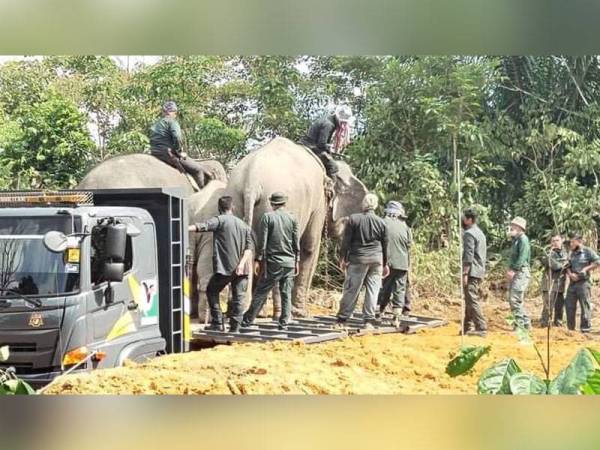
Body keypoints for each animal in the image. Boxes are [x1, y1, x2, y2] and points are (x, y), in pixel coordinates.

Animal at [224, 135, 368, 314]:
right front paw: (300, 312)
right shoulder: (319, 202)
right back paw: (279, 312)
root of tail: (252, 180)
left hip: (235, 200)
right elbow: (310, 247)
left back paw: (240, 309)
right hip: (282, 204)